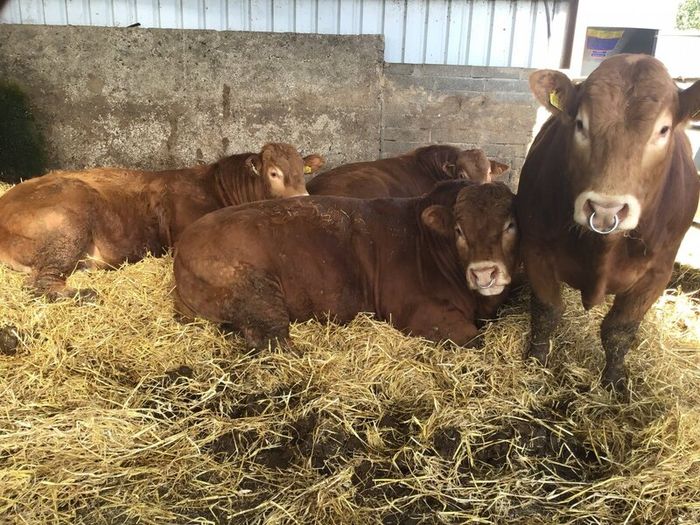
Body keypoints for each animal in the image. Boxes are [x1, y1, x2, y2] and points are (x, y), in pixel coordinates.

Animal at [0, 143, 324, 300]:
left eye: (303, 170)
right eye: (274, 173)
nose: (303, 198)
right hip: (68, 226)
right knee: (40, 283)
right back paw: (84, 294)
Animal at [173, 180, 518, 349]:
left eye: (511, 225)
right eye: (459, 230)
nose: (484, 273)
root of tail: (183, 245)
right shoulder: (421, 312)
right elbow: (474, 340)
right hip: (256, 290)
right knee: (271, 339)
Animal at [516, 54, 700, 393]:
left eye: (663, 129)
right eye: (580, 124)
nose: (605, 207)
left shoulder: (658, 271)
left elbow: (619, 330)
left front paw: (614, 382)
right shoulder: (535, 248)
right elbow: (547, 311)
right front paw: (535, 363)